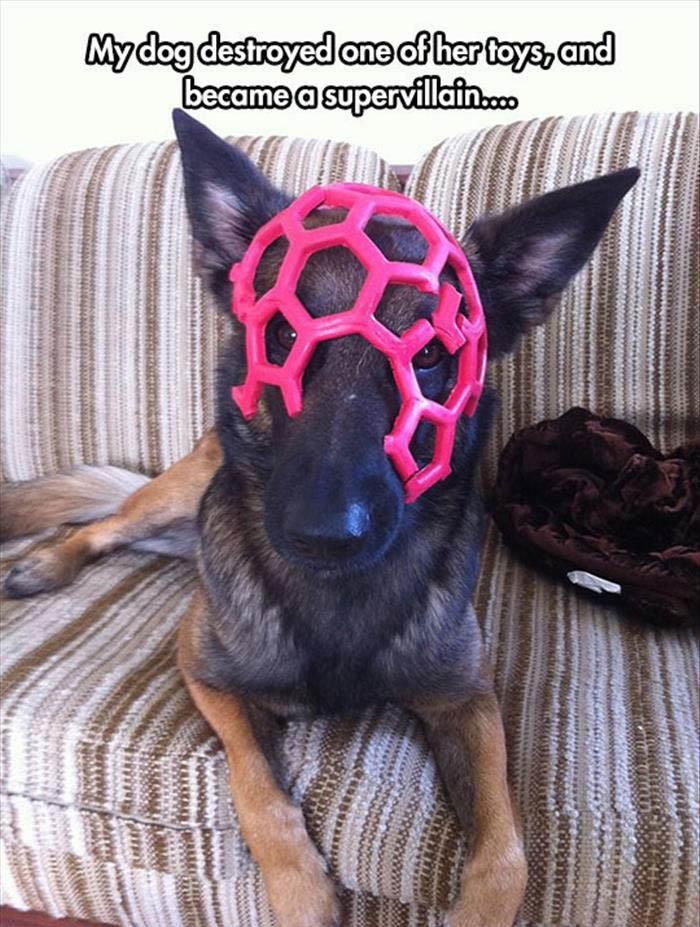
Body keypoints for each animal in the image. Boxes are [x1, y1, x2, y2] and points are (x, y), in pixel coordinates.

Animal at [0, 110, 636, 927]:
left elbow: (506, 857)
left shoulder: (468, 702)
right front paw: (303, 890)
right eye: (280, 337)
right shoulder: (205, 672)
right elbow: (260, 793)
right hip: (173, 499)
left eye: (431, 355)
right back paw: (46, 562)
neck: (336, 599)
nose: (324, 532)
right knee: (99, 525)